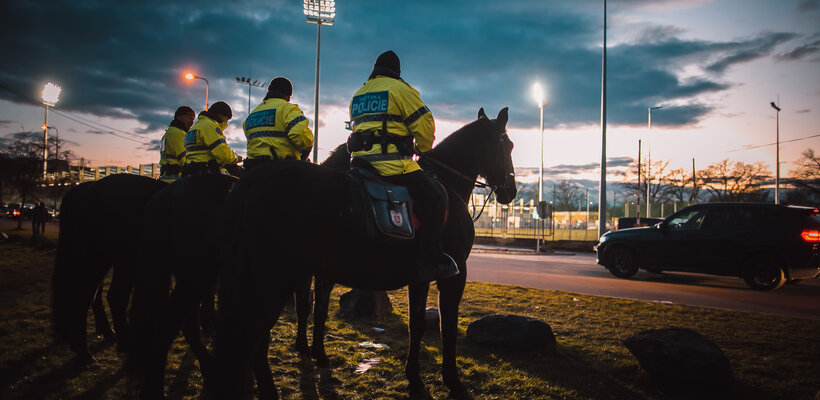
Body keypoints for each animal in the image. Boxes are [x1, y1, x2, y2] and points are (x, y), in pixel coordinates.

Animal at [215, 108, 516, 398]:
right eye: (509, 145)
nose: (511, 191)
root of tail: (249, 182)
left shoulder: (419, 277)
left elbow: (416, 324)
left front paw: (414, 378)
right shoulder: (454, 275)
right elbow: (448, 329)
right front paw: (452, 381)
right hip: (275, 278)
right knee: (254, 336)